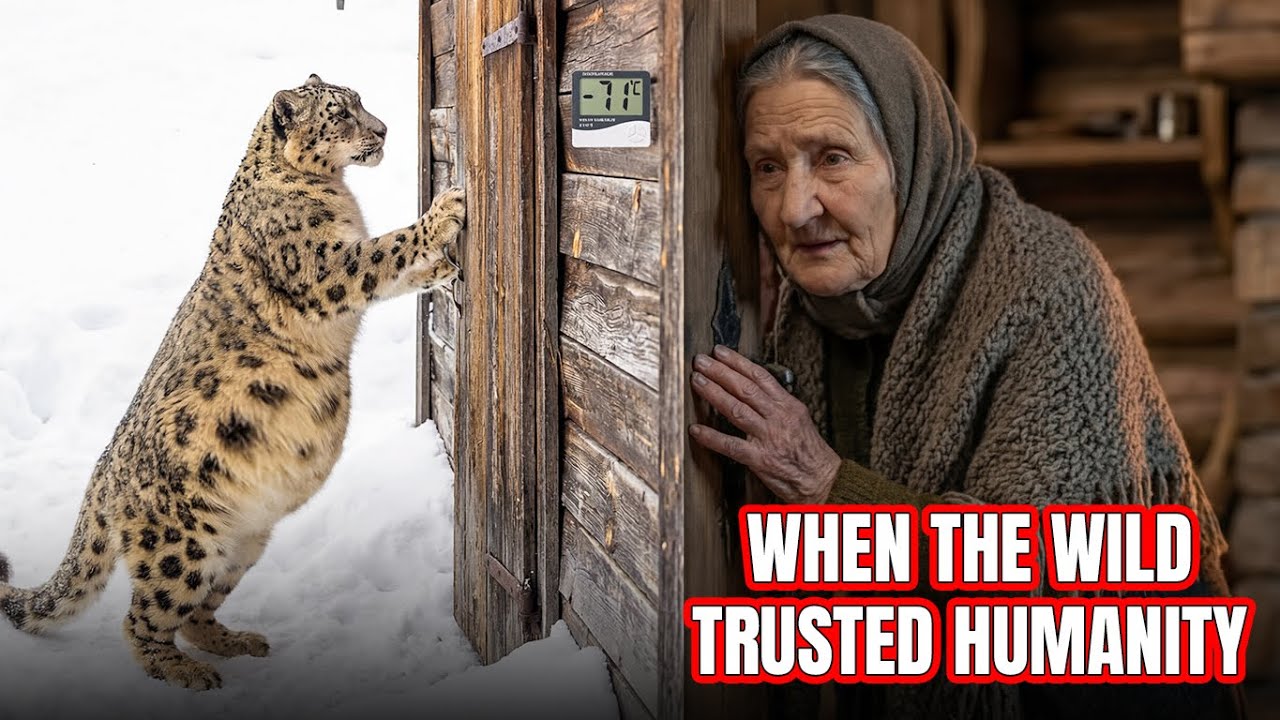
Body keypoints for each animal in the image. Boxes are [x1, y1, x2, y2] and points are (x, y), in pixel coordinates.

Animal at [0, 74, 464, 691]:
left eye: (360, 103)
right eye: (340, 112)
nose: (384, 130)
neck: (332, 191)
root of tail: (103, 475)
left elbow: (393, 269)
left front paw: (441, 266)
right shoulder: (323, 267)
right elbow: (382, 252)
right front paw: (445, 211)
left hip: (243, 542)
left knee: (198, 611)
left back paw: (238, 641)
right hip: (180, 546)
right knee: (142, 619)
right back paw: (185, 671)